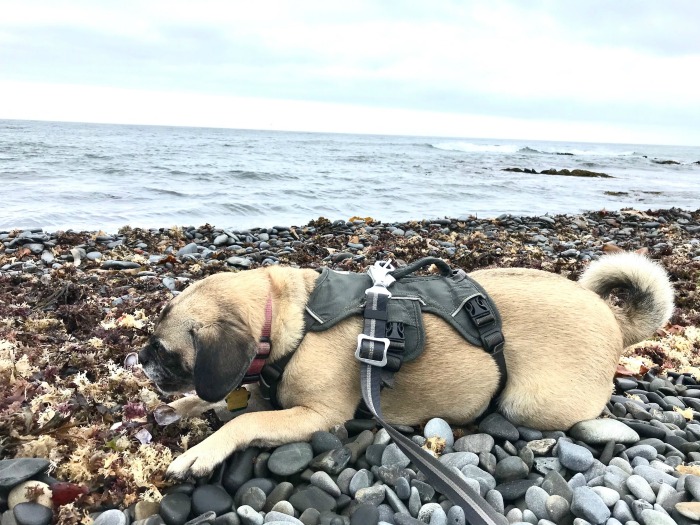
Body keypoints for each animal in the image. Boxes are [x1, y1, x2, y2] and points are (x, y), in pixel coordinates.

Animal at [138, 252, 674, 479]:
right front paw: (179, 408)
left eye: (163, 350)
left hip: (529, 403)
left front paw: (201, 452)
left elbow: (243, 421)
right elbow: (215, 400)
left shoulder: (315, 416)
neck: (287, 317)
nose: (138, 358)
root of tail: (610, 316)